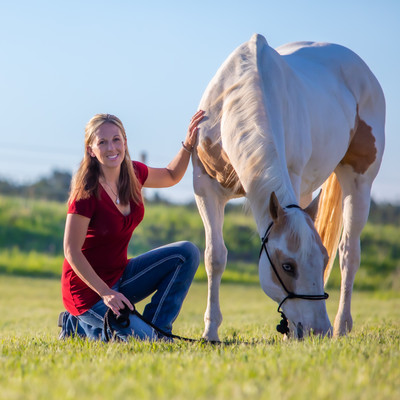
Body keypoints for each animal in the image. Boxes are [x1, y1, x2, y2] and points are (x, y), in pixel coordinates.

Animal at [192, 34, 386, 340]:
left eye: (323, 258)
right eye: (287, 266)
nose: (319, 330)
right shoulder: (205, 188)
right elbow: (215, 258)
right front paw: (210, 331)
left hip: (359, 181)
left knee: (349, 255)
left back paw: (342, 325)